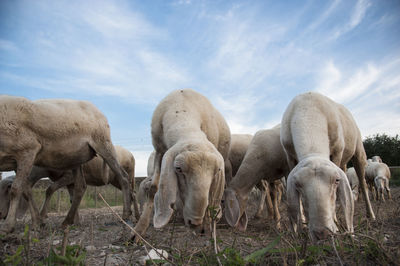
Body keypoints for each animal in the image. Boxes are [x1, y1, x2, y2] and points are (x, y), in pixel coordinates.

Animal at [0, 95, 132, 233]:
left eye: (6, 189)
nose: (0, 214)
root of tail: (97, 110)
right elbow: (27, 191)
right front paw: (37, 222)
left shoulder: (28, 150)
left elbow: (17, 189)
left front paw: (8, 226)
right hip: (77, 158)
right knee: (81, 186)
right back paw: (67, 221)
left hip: (103, 143)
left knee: (123, 177)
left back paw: (126, 215)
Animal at [133, 89, 230, 237]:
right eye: (178, 168)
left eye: (217, 171)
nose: (195, 223)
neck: (182, 107)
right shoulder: (159, 151)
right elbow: (153, 188)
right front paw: (138, 231)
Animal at [282, 91, 376, 241]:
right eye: (297, 184)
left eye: (337, 180)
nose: (323, 234)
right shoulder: (290, 157)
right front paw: (302, 225)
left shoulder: (337, 152)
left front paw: (336, 222)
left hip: (358, 151)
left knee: (363, 183)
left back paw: (370, 215)